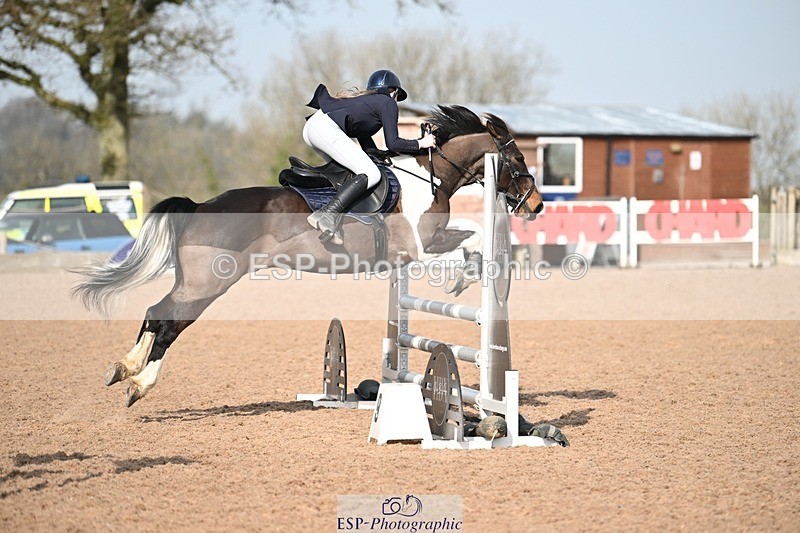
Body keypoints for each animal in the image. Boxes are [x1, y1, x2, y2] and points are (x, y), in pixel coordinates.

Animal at [72, 105, 543, 407]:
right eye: (518, 157)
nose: (536, 206)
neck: (430, 177)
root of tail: (201, 206)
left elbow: (472, 234)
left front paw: (467, 273)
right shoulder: (420, 248)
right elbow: (471, 241)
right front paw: (464, 277)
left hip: (195, 281)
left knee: (156, 312)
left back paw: (123, 369)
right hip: (209, 283)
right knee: (169, 321)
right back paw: (139, 384)